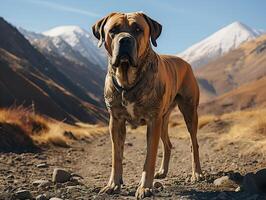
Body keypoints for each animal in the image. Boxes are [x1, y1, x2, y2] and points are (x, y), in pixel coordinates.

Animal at [92, 11, 203, 199]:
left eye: (138, 29)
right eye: (113, 30)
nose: (125, 40)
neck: (127, 80)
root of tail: (185, 62)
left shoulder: (152, 121)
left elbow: (149, 157)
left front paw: (145, 187)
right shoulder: (116, 121)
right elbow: (116, 156)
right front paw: (113, 184)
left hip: (188, 112)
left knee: (193, 143)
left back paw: (197, 173)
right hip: (163, 120)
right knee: (168, 144)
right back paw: (162, 171)